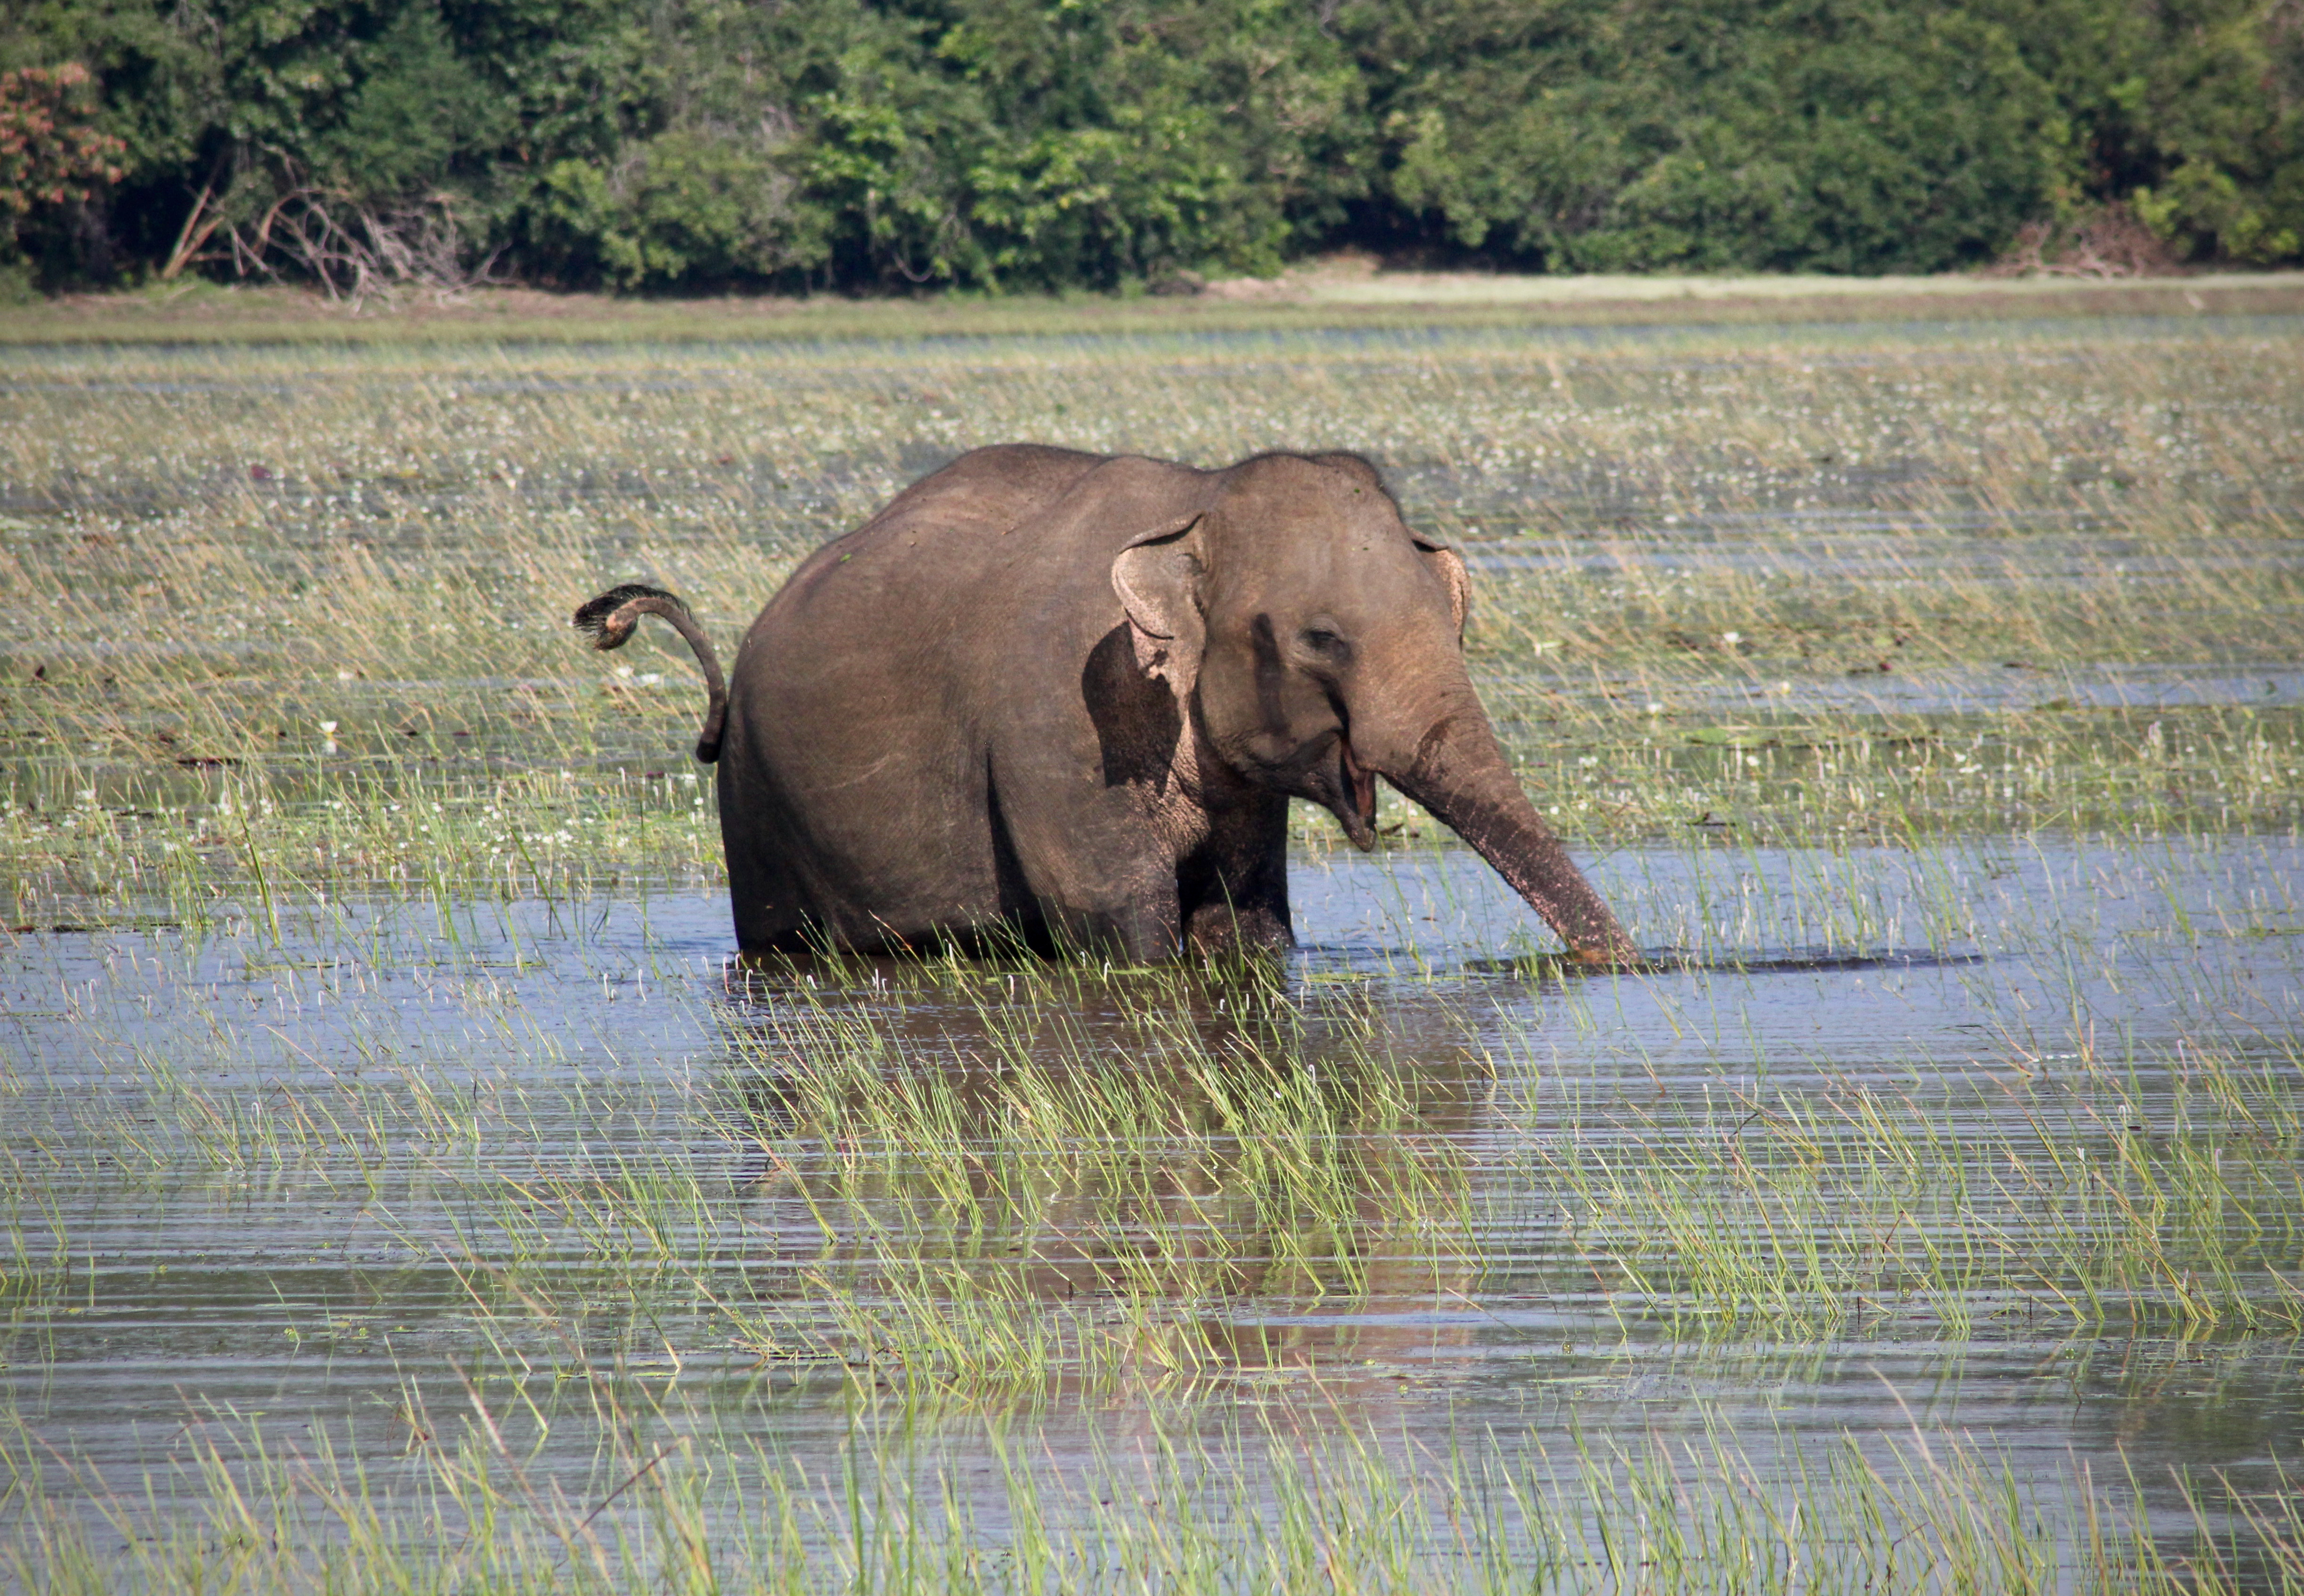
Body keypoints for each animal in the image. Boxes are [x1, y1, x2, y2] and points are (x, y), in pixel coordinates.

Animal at [574, 445, 1635, 965]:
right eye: (1320, 640)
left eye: (1454, 618)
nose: (1615, 962)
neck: (1198, 502)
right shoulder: (1057, 728)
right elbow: (1125, 930)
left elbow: (1247, 924)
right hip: (757, 812)